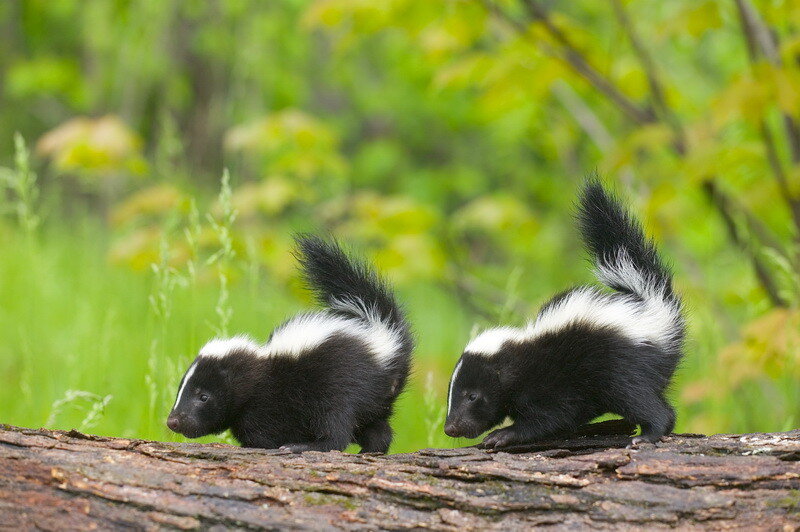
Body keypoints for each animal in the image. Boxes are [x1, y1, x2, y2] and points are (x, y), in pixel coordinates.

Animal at [164, 236, 412, 454]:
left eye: (203, 397)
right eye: (181, 390)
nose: (173, 421)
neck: (257, 374)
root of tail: (384, 337)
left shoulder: (267, 405)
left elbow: (263, 435)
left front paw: (270, 444)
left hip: (342, 385)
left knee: (336, 426)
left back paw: (304, 447)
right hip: (375, 399)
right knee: (378, 428)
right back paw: (370, 451)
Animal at [444, 183, 680, 448]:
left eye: (472, 396)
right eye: (451, 393)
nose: (450, 428)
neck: (522, 358)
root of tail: (655, 310)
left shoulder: (551, 385)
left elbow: (551, 416)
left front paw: (502, 435)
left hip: (622, 368)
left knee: (644, 402)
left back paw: (648, 434)